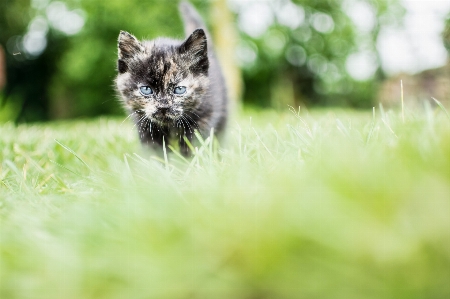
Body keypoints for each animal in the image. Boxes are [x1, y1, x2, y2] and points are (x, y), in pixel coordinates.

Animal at [116, 1, 229, 157]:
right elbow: (156, 153)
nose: (163, 106)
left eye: (179, 89)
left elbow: (193, 147)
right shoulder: (145, 126)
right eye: (146, 90)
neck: (169, 126)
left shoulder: (204, 118)